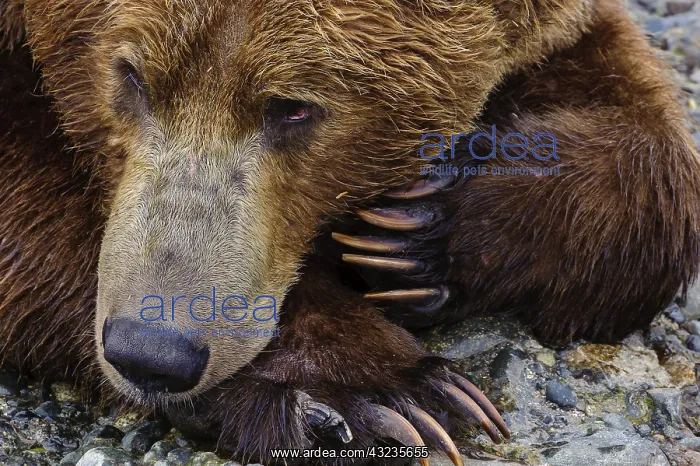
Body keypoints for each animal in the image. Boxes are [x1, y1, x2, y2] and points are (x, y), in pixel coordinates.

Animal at [1, 0, 699, 464]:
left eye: (293, 107)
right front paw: (373, 392)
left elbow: (647, 144)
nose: (151, 351)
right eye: (132, 75)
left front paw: (417, 234)